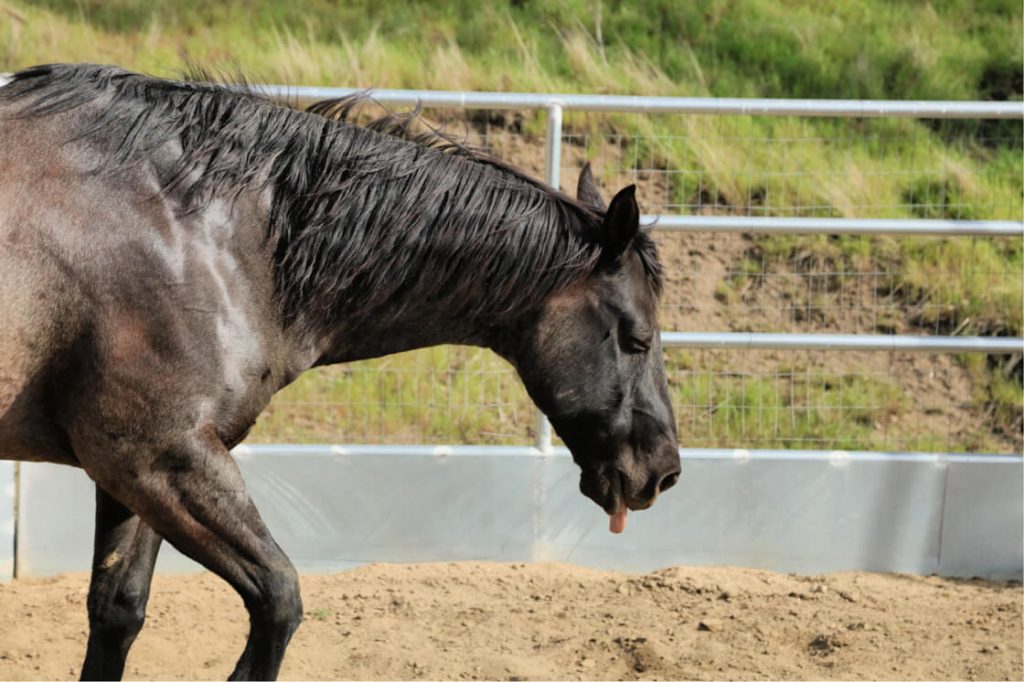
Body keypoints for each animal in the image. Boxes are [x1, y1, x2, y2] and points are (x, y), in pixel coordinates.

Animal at [0, 64, 680, 680]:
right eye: (638, 338)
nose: (664, 471)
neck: (208, 234)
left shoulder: (130, 473)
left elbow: (118, 611)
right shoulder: (160, 456)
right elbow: (279, 599)